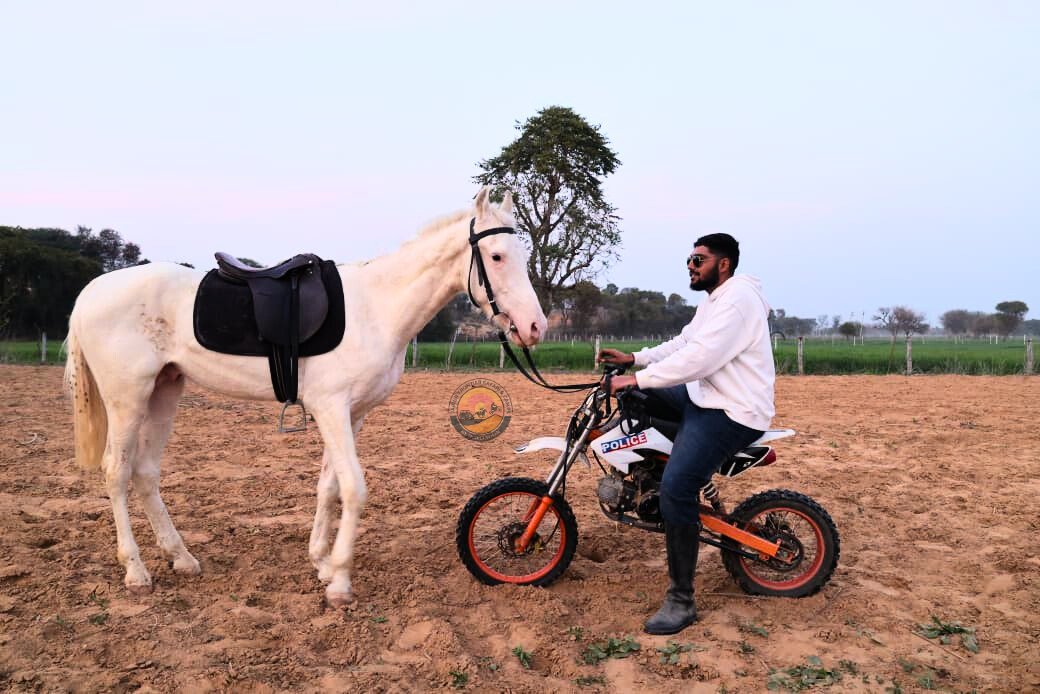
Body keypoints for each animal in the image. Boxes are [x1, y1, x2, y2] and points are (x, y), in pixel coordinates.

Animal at [63, 188, 547, 607]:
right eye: (497, 256)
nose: (535, 327)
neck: (377, 308)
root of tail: (91, 291)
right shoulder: (331, 408)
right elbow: (353, 488)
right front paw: (341, 582)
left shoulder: (352, 414)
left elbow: (329, 485)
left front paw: (322, 562)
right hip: (128, 398)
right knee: (117, 472)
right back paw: (136, 571)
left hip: (165, 389)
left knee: (145, 473)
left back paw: (180, 557)